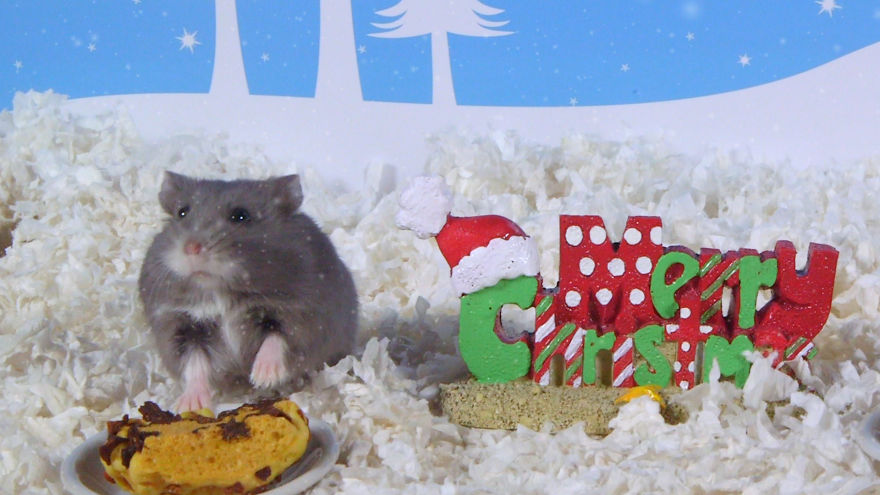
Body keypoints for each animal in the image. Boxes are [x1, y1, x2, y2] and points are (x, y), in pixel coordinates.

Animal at [138, 172, 358, 411]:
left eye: (240, 216)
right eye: (182, 212)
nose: (191, 248)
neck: (219, 290)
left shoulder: (300, 314)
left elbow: (276, 339)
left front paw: (262, 378)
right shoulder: (181, 325)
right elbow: (193, 363)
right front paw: (190, 406)